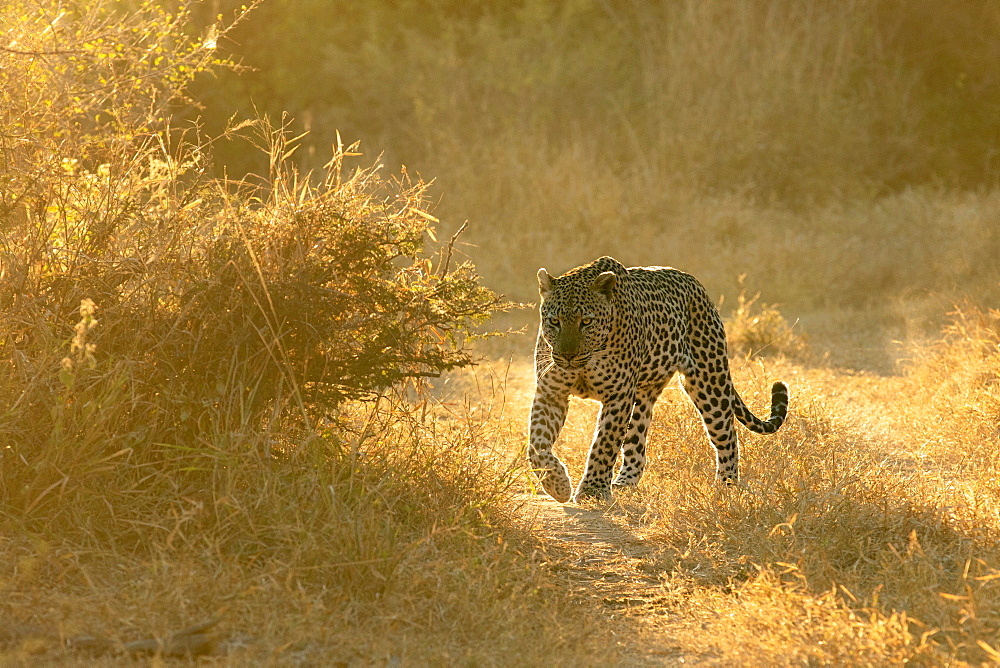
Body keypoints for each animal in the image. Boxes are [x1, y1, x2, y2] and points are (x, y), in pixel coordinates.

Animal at [528, 256, 792, 500]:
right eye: (554, 321)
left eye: (586, 322)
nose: (568, 356)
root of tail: (697, 286)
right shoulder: (550, 392)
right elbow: (537, 444)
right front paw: (557, 485)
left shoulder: (618, 397)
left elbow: (605, 443)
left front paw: (593, 490)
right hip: (644, 396)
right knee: (637, 444)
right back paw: (624, 483)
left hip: (708, 383)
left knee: (727, 434)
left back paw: (726, 486)